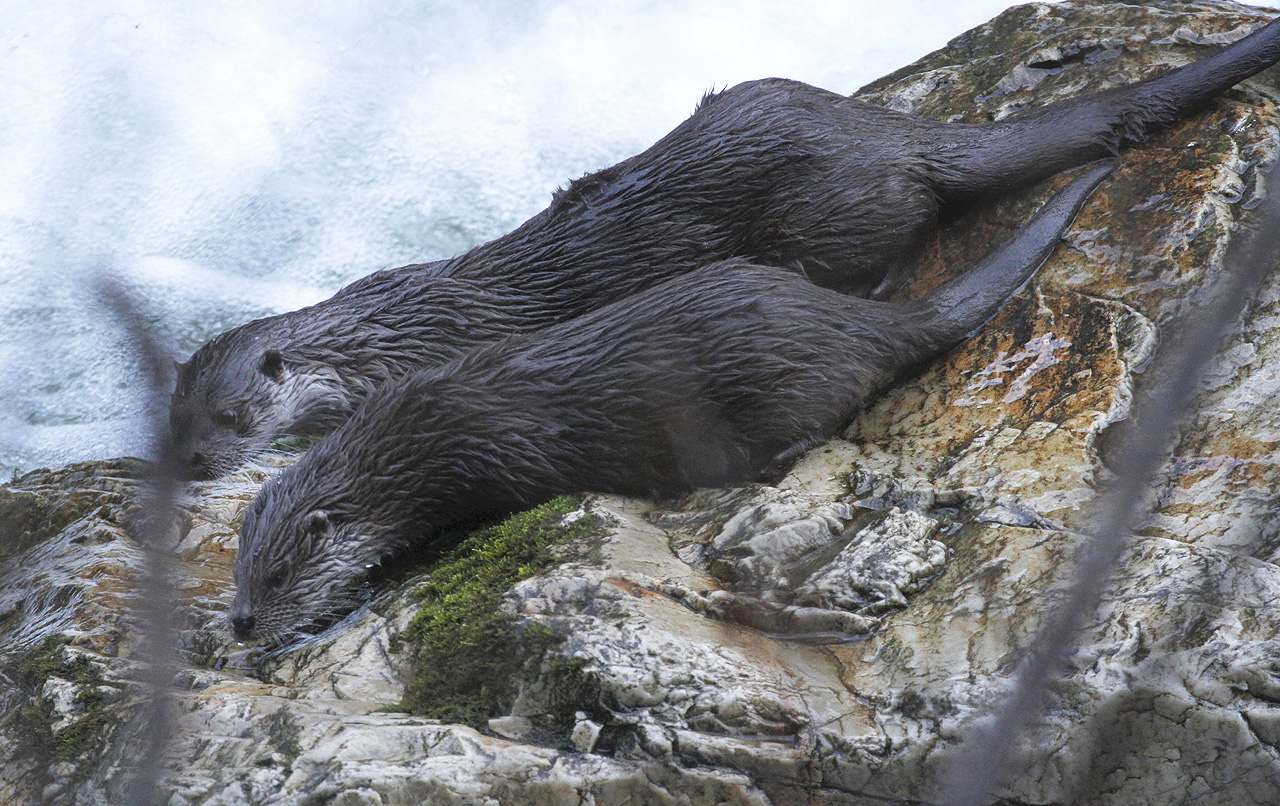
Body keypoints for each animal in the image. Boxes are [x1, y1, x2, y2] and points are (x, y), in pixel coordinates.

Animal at [175, 12, 1280, 481]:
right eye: (173, 417)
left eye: (233, 416)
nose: (192, 467)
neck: (380, 336)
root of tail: (882, 132)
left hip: (827, 212)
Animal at [232, 161, 1121, 647]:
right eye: (239, 572)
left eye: (275, 578)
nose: (238, 624)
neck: (411, 442)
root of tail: (847, 320)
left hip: (784, 378)